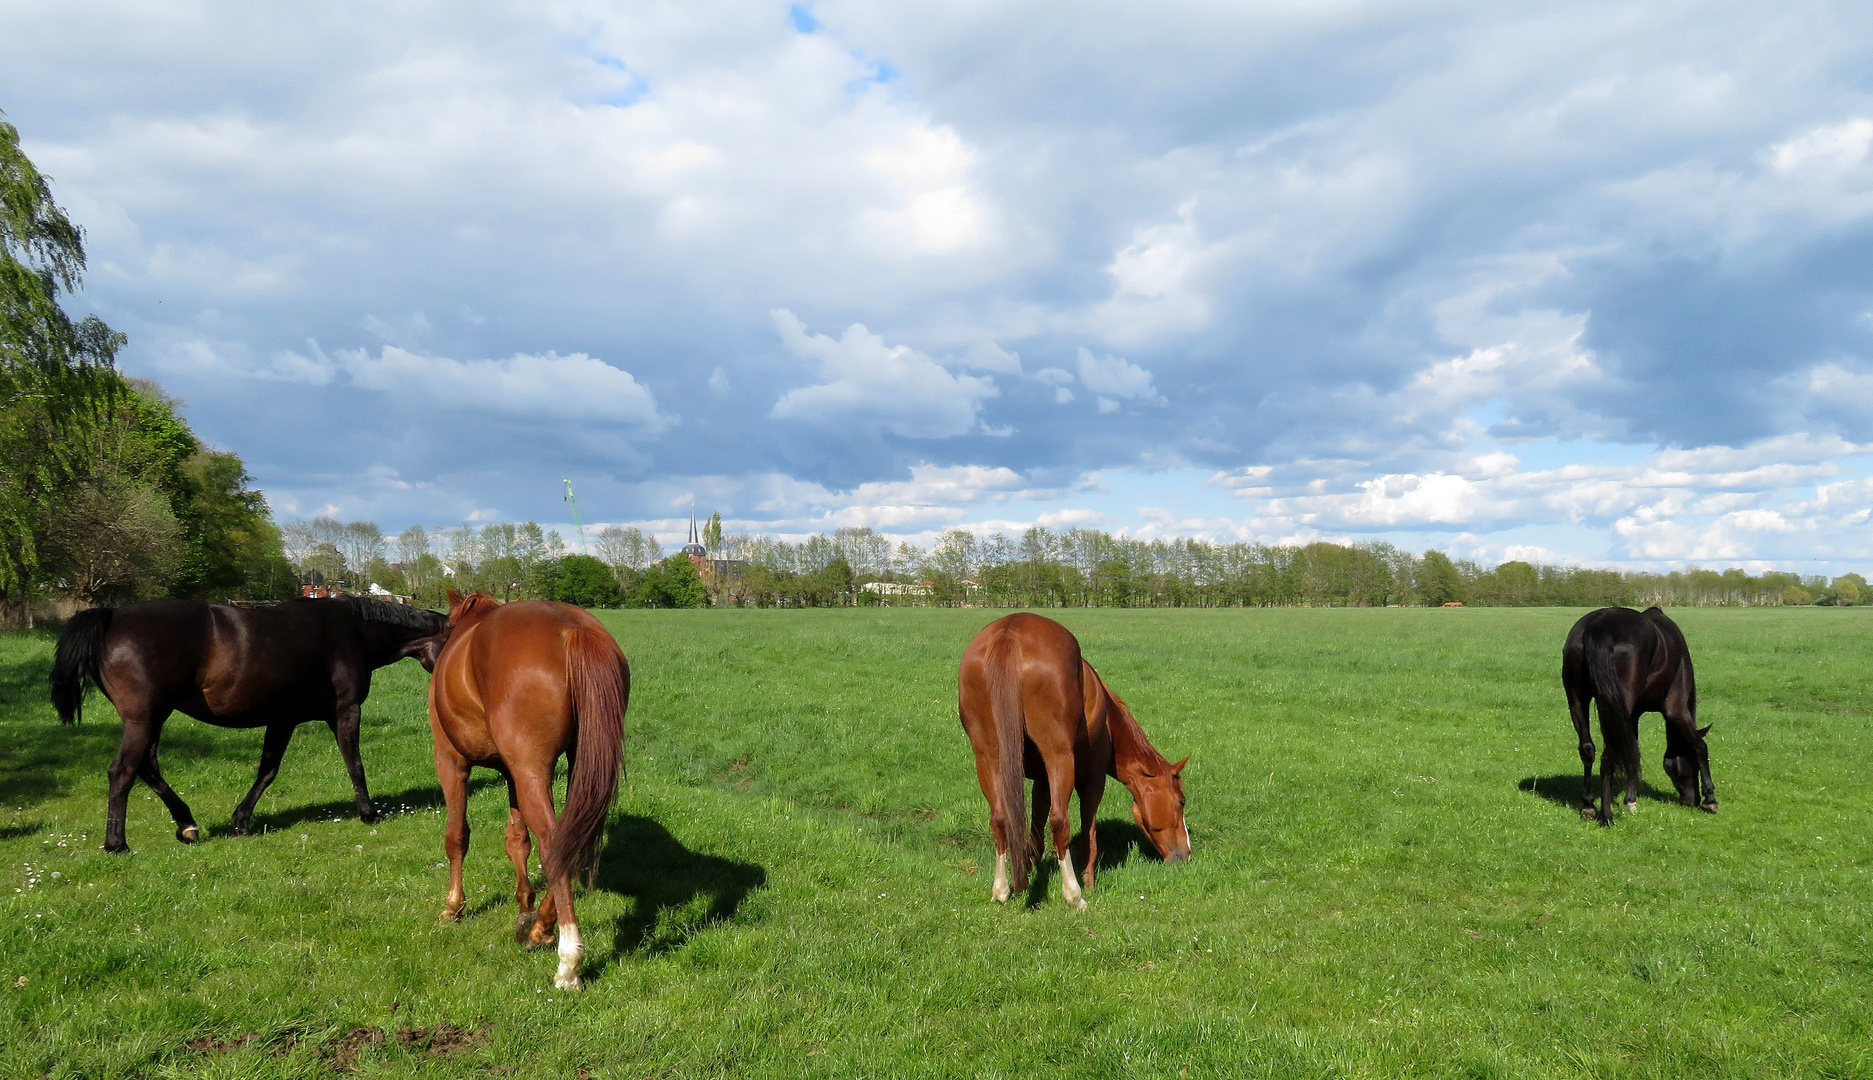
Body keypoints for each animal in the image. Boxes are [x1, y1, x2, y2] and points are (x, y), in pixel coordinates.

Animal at [50, 591, 445, 849]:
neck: (351, 632)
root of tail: (111, 617)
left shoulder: (283, 719)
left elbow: (267, 770)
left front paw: (241, 819)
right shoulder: (346, 712)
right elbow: (355, 765)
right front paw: (369, 813)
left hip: (153, 719)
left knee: (147, 767)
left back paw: (186, 824)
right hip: (143, 720)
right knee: (123, 771)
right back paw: (117, 842)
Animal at [427, 591, 625, 988]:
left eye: (446, 625)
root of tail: (574, 630)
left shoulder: (451, 762)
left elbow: (457, 837)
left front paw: (453, 906)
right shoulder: (510, 773)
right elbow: (517, 840)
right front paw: (524, 907)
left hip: (530, 772)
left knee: (554, 843)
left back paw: (569, 960)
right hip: (571, 766)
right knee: (570, 839)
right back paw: (541, 929)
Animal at [966, 610, 1183, 905]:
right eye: (1181, 802)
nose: (1185, 855)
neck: (1109, 722)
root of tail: (1010, 632)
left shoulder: (1041, 781)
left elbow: (1036, 828)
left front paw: (1031, 866)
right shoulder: (1093, 779)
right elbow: (1088, 835)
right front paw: (1088, 881)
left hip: (987, 756)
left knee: (999, 819)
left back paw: (1001, 890)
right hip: (1058, 757)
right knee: (1060, 821)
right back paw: (1074, 894)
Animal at [1558, 602, 1715, 819]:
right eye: (1690, 762)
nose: (1692, 800)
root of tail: (1598, 625)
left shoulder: (1631, 715)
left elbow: (1632, 749)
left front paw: (1630, 799)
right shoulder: (1676, 710)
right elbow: (1700, 746)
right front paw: (1711, 800)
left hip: (1577, 699)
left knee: (1588, 749)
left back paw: (1588, 806)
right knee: (1609, 754)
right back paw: (1606, 815)